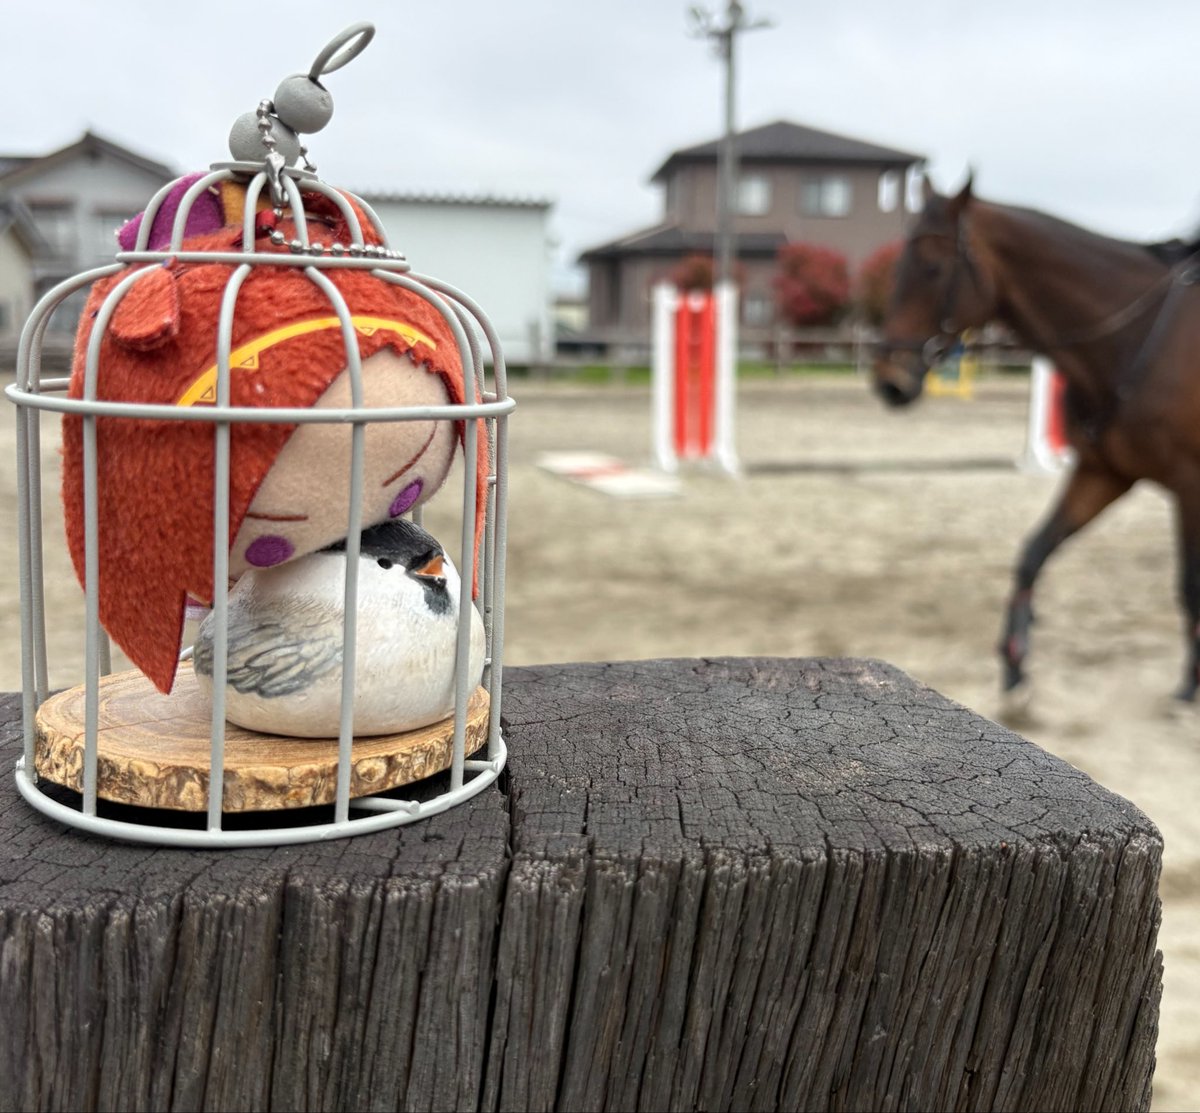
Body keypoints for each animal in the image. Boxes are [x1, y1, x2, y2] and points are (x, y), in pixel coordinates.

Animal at [873, 176, 1200, 699]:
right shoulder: (1105, 474)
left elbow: (1188, 584)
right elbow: (1034, 551)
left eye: (932, 268)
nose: (889, 382)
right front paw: (1014, 659)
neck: (1138, 338)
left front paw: (1190, 680)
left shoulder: (1189, 485)